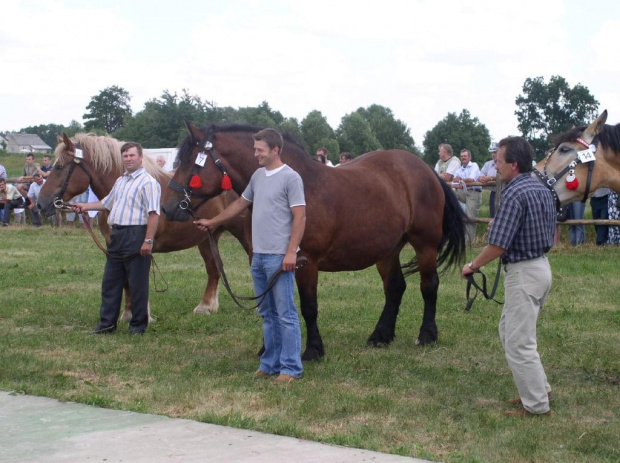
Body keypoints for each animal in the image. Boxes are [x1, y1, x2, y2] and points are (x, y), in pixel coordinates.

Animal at [37, 134, 252, 320]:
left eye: (60, 167)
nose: (40, 204)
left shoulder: (143, 248)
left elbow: (138, 281)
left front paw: (143, 316)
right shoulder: (114, 247)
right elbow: (125, 282)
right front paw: (127, 314)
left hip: (243, 234)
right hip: (208, 238)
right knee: (214, 270)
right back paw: (205, 307)